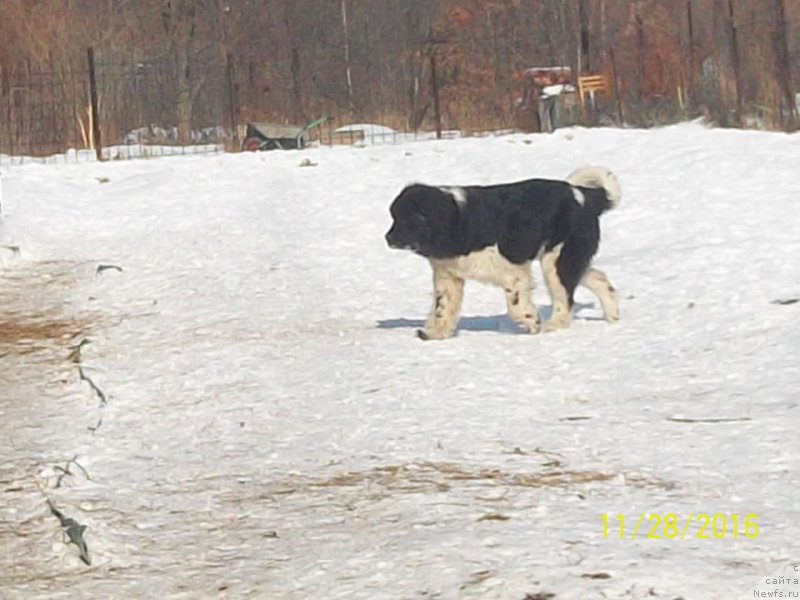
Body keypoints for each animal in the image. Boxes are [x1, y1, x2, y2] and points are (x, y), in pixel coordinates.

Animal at [384, 166, 620, 340]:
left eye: (406, 219)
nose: (388, 238)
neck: (459, 218)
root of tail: (584, 196)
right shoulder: (448, 276)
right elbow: (443, 306)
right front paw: (435, 333)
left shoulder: (512, 272)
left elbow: (515, 304)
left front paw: (531, 321)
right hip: (567, 258)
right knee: (598, 279)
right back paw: (613, 316)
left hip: (557, 260)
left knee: (564, 297)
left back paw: (553, 326)